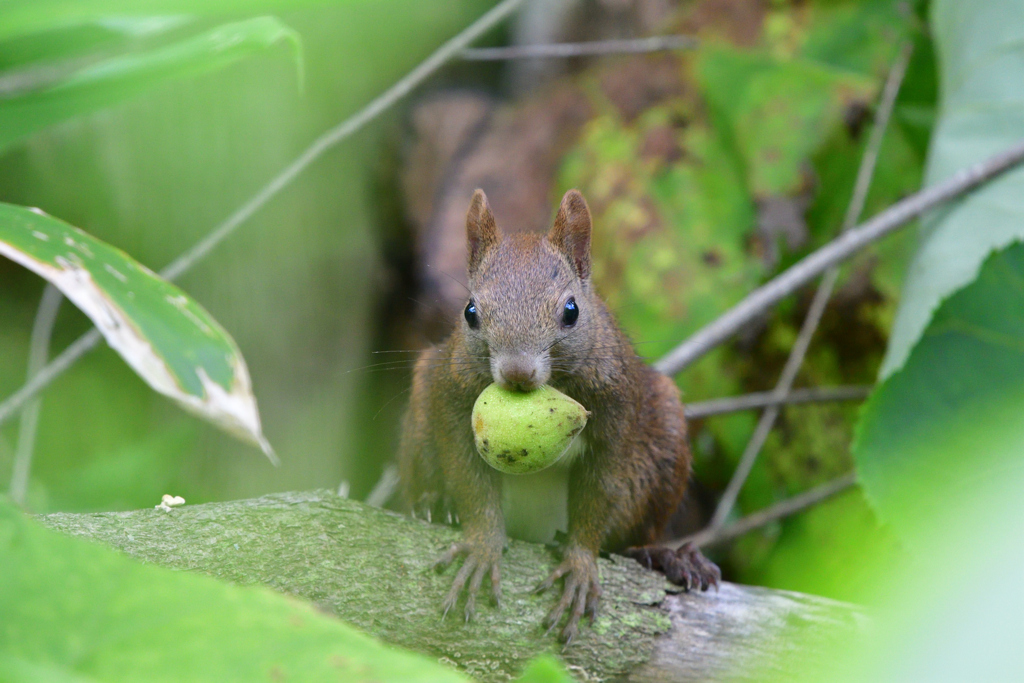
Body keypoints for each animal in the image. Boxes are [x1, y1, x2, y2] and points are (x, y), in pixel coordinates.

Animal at [395, 188, 716, 647]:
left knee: (634, 535)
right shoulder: (450, 399)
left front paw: (580, 565)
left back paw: (668, 556)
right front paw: (481, 545)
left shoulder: (618, 412)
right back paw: (434, 506)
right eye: (470, 312)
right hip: (421, 413)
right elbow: (469, 479)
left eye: (571, 310)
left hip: (666, 436)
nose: (517, 372)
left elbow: (601, 491)